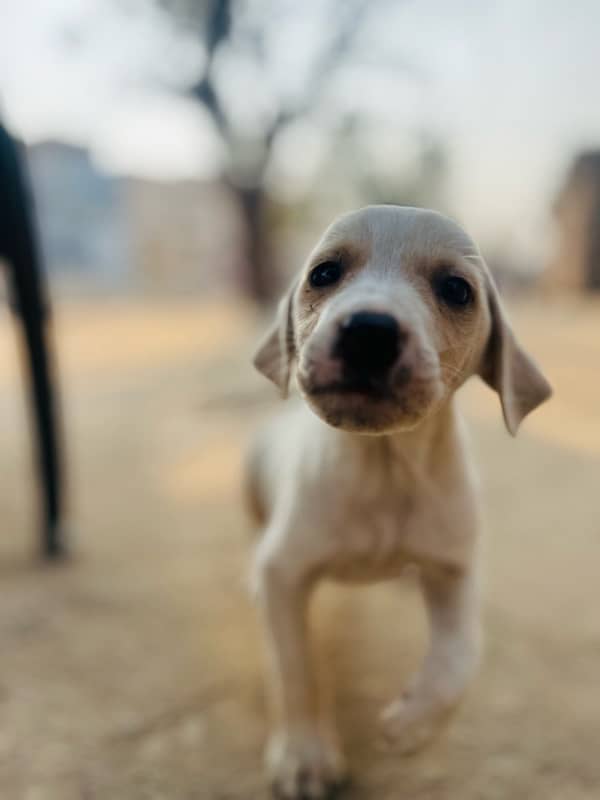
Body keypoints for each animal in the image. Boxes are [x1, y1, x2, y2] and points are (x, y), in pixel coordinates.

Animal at [245, 205, 552, 792]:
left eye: (456, 289)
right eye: (324, 273)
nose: (369, 331)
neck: (384, 470)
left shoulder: (455, 568)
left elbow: (462, 655)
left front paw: (414, 725)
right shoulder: (284, 572)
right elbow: (297, 667)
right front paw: (304, 754)